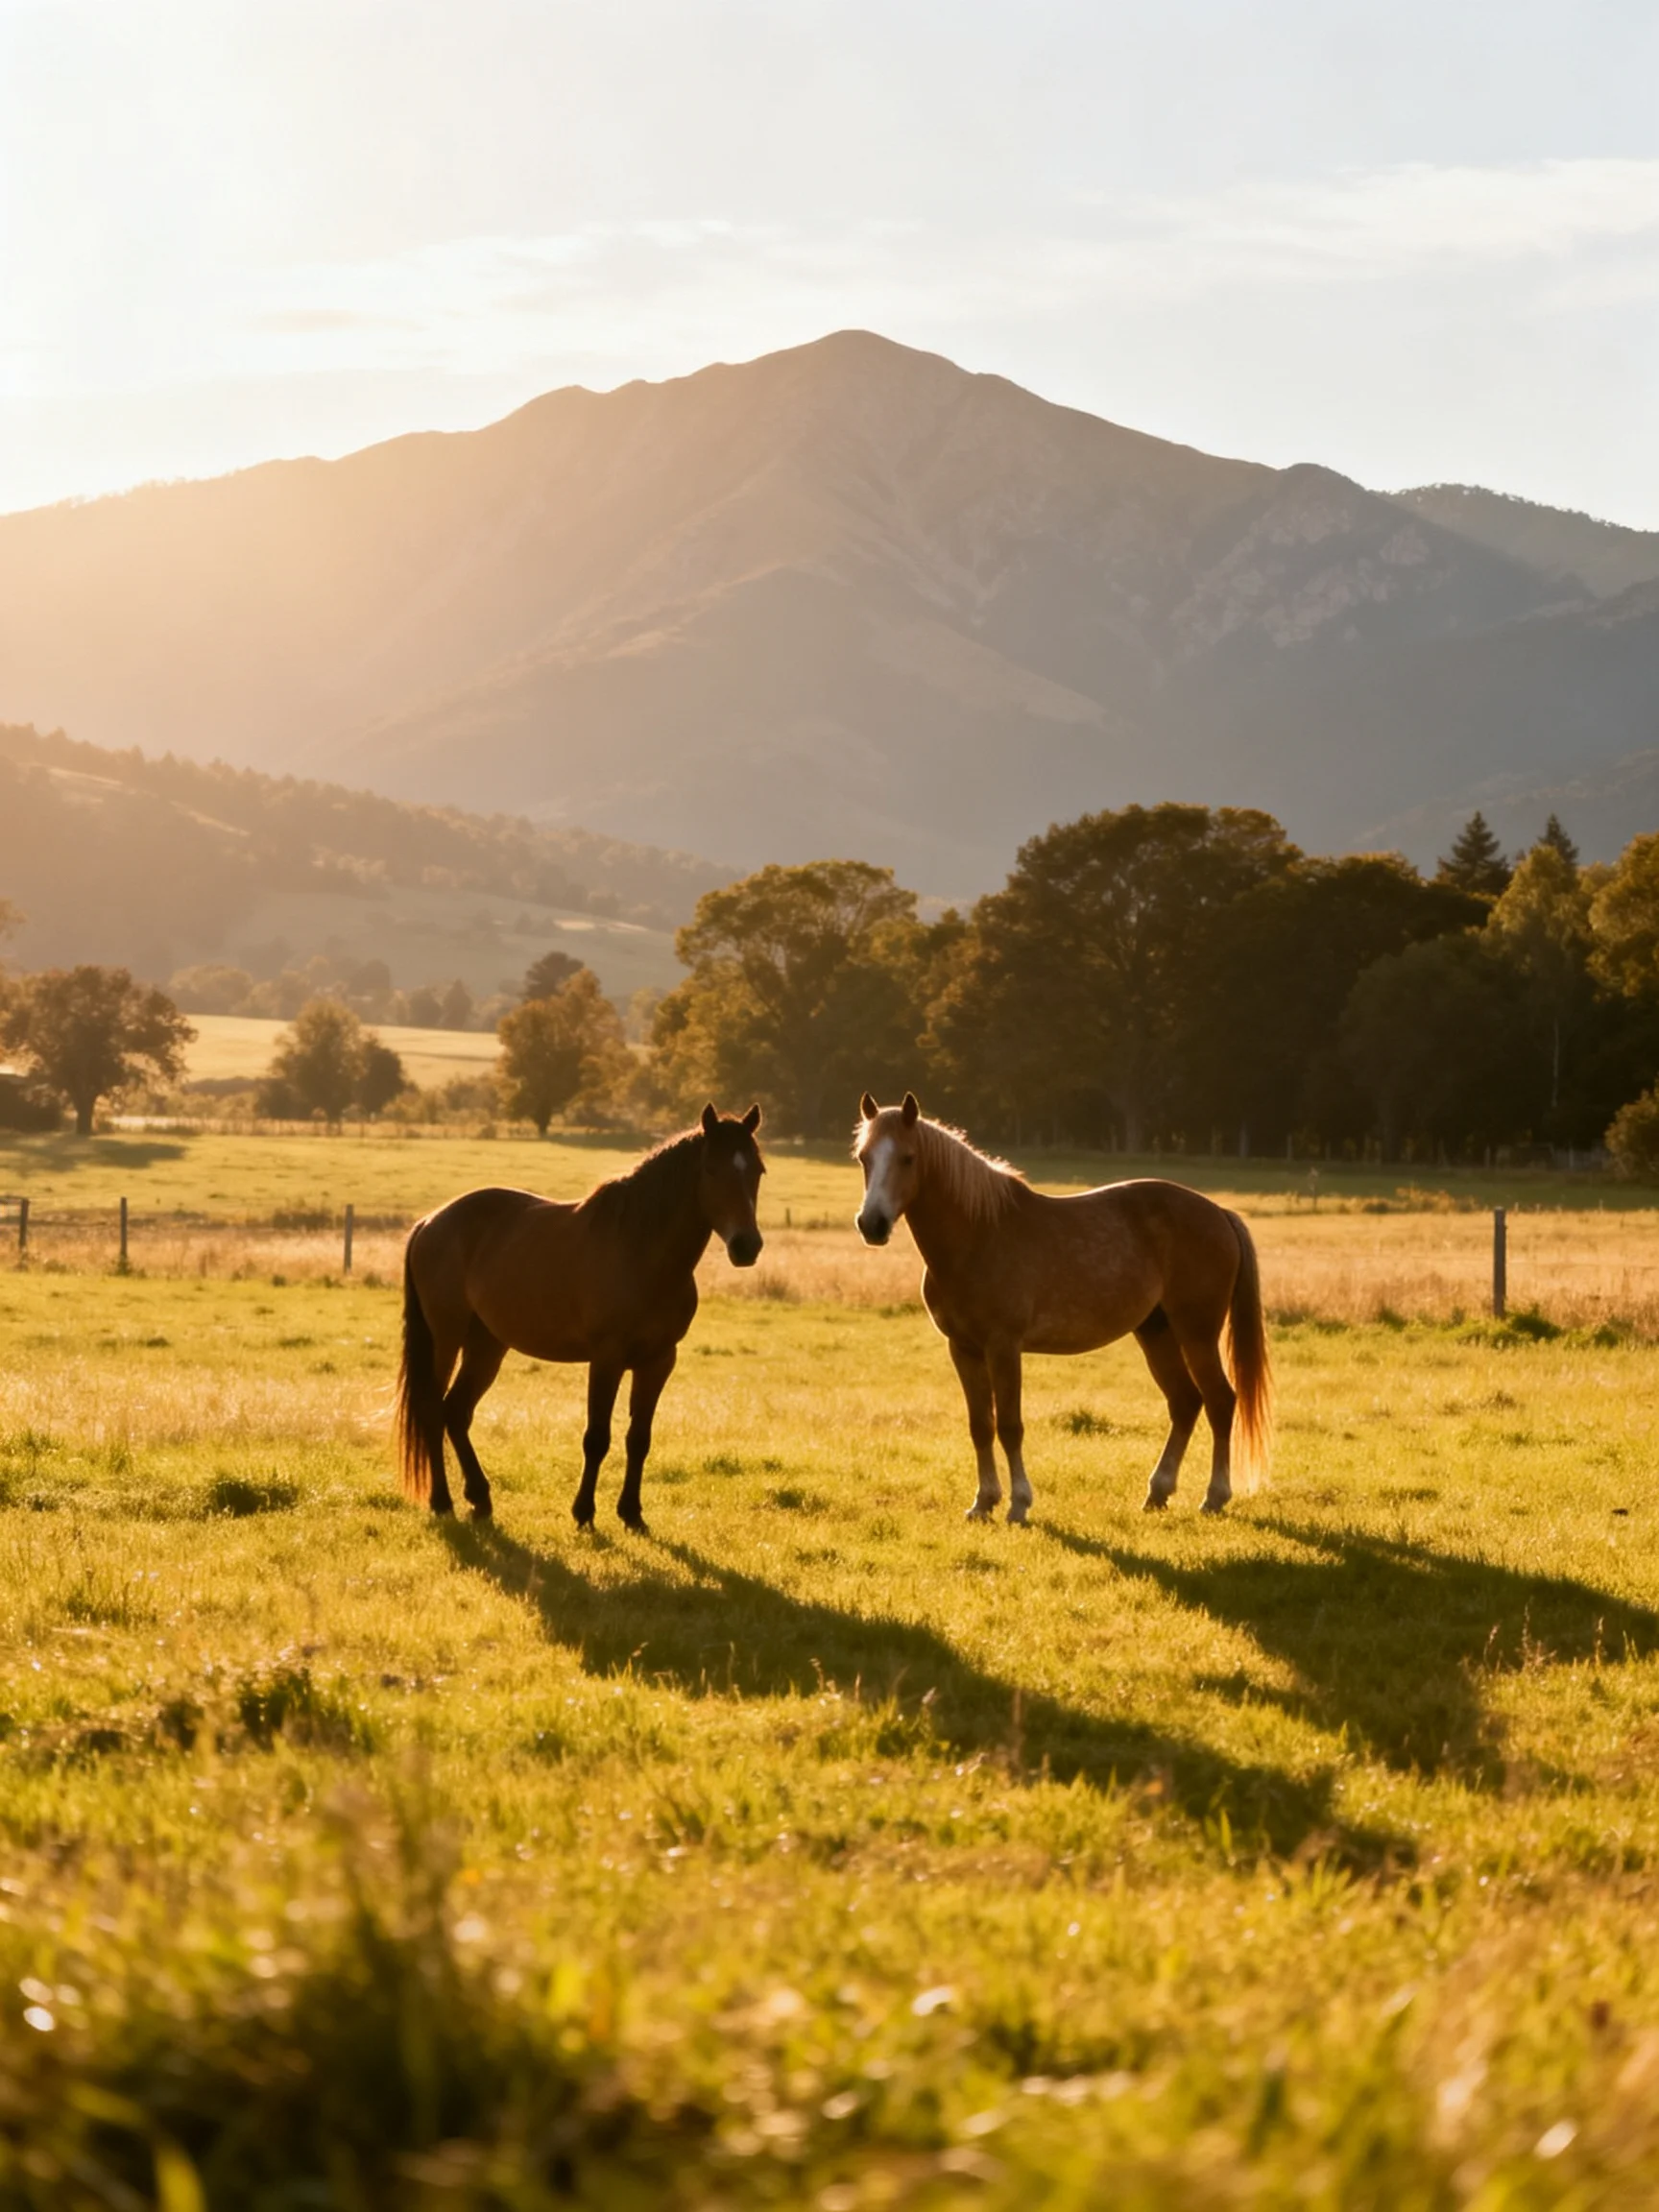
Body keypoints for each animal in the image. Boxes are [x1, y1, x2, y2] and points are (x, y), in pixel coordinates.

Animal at [395, 1103, 764, 1531]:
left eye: (757, 1170)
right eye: (711, 1169)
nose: (746, 1246)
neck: (642, 1252)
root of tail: (430, 1222)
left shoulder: (659, 1360)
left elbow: (639, 1438)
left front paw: (632, 1513)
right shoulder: (606, 1359)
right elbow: (597, 1437)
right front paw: (584, 1512)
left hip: (487, 1345)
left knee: (456, 1411)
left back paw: (480, 1498)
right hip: (446, 1338)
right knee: (432, 1409)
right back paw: (442, 1501)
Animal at [854, 1092, 1269, 1521]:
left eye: (908, 1158)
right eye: (864, 1158)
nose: (873, 1224)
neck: (978, 1235)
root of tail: (1219, 1213)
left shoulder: (1003, 1347)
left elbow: (1010, 1425)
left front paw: (1019, 1504)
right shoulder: (963, 1349)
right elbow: (980, 1425)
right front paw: (983, 1502)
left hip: (1197, 1333)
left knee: (1220, 1401)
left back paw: (1214, 1496)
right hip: (1157, 1332)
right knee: (1186, 1402)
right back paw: (1157, 1492)